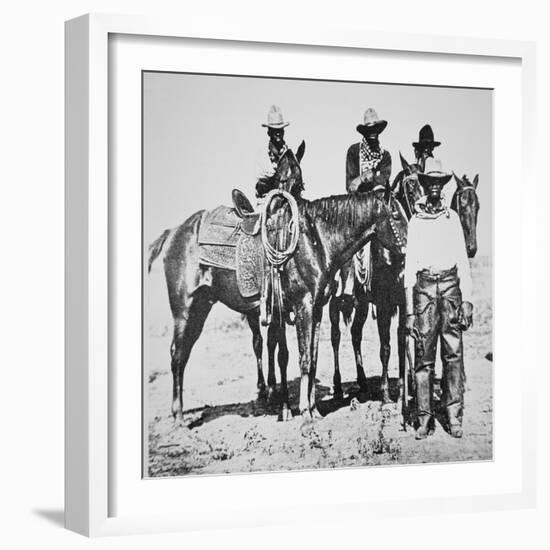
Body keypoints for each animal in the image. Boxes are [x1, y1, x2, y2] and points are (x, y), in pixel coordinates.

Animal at [149, 188, 408, 424]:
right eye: (395, 214)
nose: (404, 255)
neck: (315, 240)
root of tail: (173, 233)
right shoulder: (303, 306)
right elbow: (304, 359)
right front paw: (305, 412)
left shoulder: (316, 310)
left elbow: (312, 358)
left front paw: (314, 409)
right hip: (184, 310)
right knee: (177, 355)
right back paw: (179, 418)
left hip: (201, 308)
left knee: (183, 355)